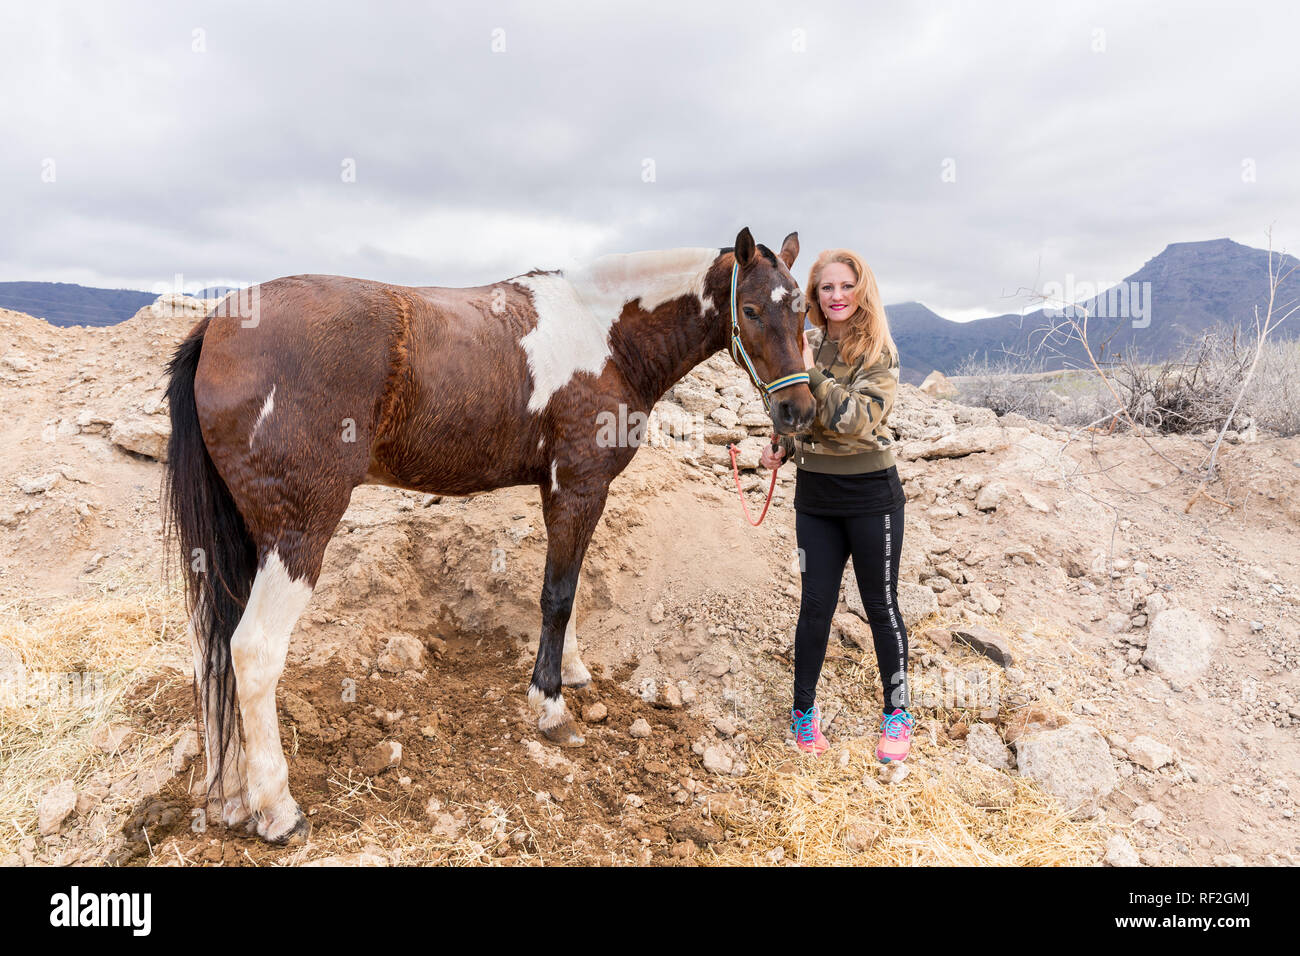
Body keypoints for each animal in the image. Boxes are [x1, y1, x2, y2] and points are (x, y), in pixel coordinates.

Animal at [163, 226, 815, 845]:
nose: (799, 413)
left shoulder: (563, 490)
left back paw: (229, 795)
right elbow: (557, 597)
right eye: (751, 309)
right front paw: (550, 707)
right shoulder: (580, 487)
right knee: (252, 652)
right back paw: (277, 810)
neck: (603, 333)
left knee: (209, 649)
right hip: (296, 537)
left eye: (802, 309)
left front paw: (572, 671)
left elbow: (568, 589)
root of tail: (218, 326)